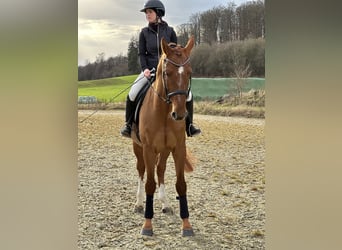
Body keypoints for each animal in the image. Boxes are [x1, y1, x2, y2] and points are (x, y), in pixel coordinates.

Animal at [131, 36, 195, 237]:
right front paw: (147, 225)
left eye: (189, 73)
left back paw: (165, 204)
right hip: (138, 148)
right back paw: (138, 203)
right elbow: (149, 184)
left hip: (165, 150)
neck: (165, 111)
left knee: (160, 170)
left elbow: (181, 184)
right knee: (141, 170)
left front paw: (186, 225)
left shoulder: (178, 148)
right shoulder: (148, 149)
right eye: (167, 73)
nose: (179, 114)